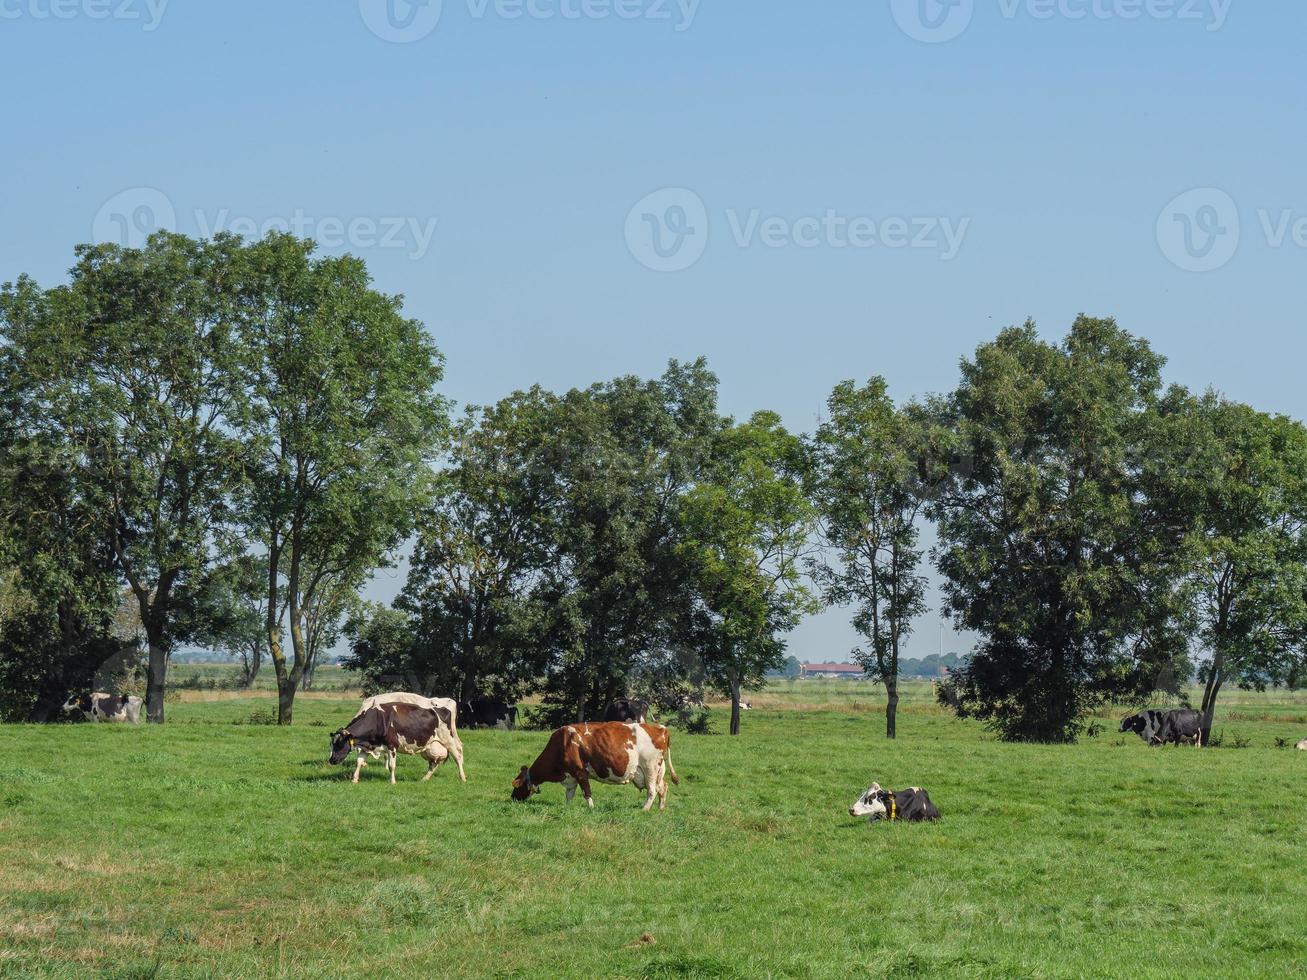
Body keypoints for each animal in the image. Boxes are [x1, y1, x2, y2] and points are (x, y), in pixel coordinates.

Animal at [329, 700, 462, 789]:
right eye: (331, 744)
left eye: (340, 744)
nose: (331, 760)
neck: (378, 720)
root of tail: (442, 709)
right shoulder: (368, 747)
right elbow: (359, 762)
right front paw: (355, 779)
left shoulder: (392, 746)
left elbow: (392, 766)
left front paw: (393, 782)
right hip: (429, 747)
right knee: (434, 764)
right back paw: (424, 779)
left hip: (448, 740)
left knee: (458, 757)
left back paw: (462, 778)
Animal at [509, 721, 679, 815]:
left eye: (516, 786)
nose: (512, 798)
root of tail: (661, 729)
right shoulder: (570, 775)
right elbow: (569, 794)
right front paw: (567, 807)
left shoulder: (580, 772)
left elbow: (586, 792)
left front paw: (591, 808)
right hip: (657, 770)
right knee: (663, 787)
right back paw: (660, 808)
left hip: (650, 767)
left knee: (652, 791)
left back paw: (644, 809)